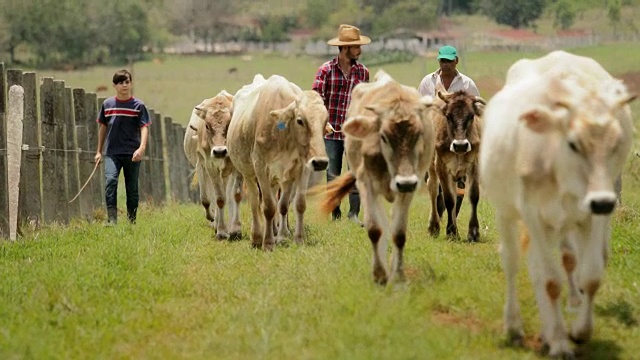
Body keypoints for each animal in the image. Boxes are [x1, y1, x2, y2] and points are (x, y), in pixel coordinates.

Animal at [320, 69, 436, 284]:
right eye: (384, 136)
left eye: (419, 135)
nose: (405, 182)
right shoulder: (367, 185)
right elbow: (375, 229)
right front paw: (380, 274)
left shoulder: (408, 190)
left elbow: (399, 234)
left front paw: (398, 274)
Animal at [424, 89, 484, 242]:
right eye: (448, 116)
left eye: (471, 116)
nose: (460, 145)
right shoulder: (441, 167)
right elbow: (449, 200)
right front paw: (451, 231)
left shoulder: (475, 165)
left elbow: (473, 196)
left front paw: (473, 232)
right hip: (432, 166)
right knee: (433, 189)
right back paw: (434, 226)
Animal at [480, 50, 636, 358]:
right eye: (573, 144)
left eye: (616, 143)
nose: (603, 202)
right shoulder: (533, 216)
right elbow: (551, 281)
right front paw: (561, 343)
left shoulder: (591, 217)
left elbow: (591, 275)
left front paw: (578, 331)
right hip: (507, 213)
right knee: (513, 263)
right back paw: (514, 326)